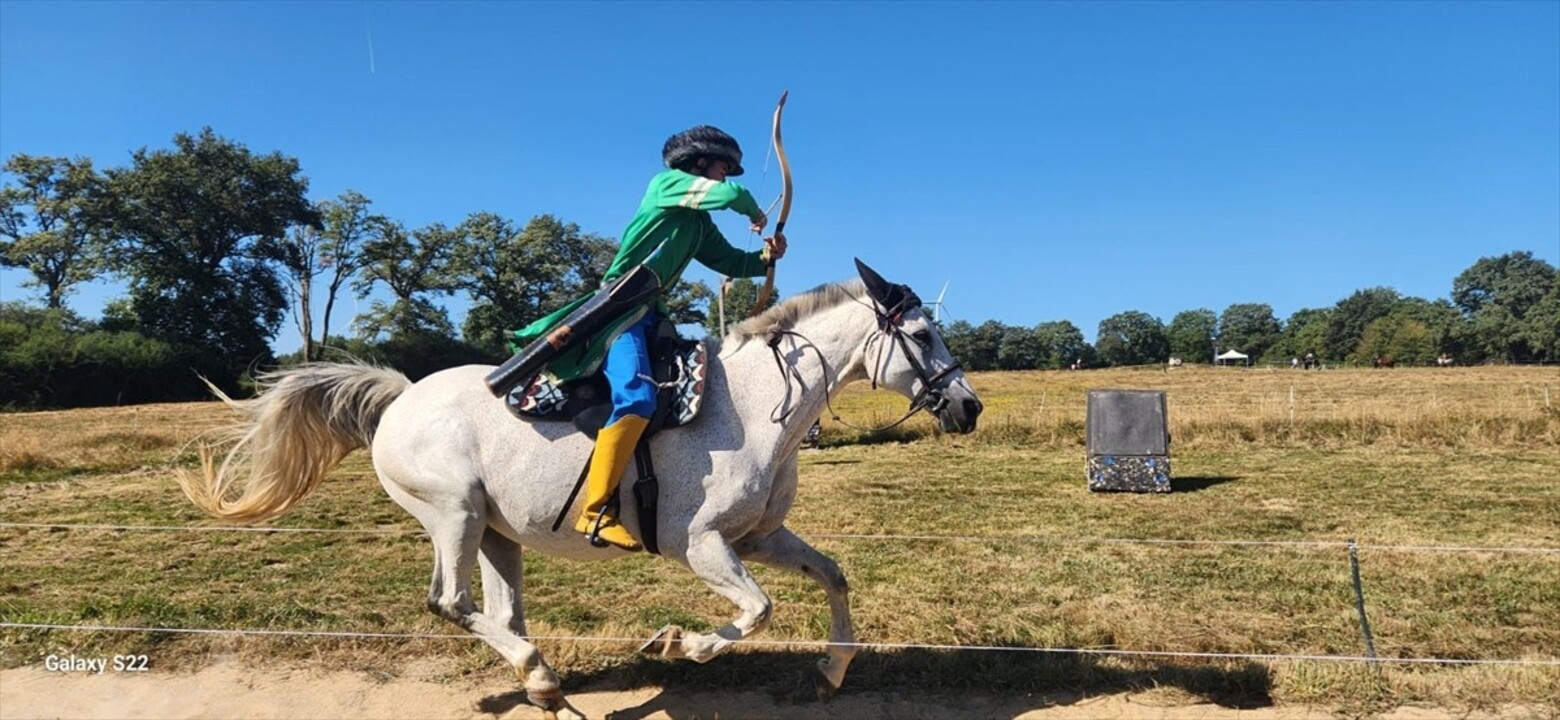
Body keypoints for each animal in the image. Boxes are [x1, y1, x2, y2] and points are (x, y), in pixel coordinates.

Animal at [179, 261, 973, 716]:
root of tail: (400, 398)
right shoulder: (702, 545)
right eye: (923, 335)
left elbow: (832, 578)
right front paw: (677, 642)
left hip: (495, 533)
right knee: (449, 602)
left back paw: (540, 684)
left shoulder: (760, 537)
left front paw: (830, 673)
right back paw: (540, 675)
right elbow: (758, 611)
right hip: (453, 516)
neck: (752, 407)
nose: (969, 407)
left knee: (500, 610)